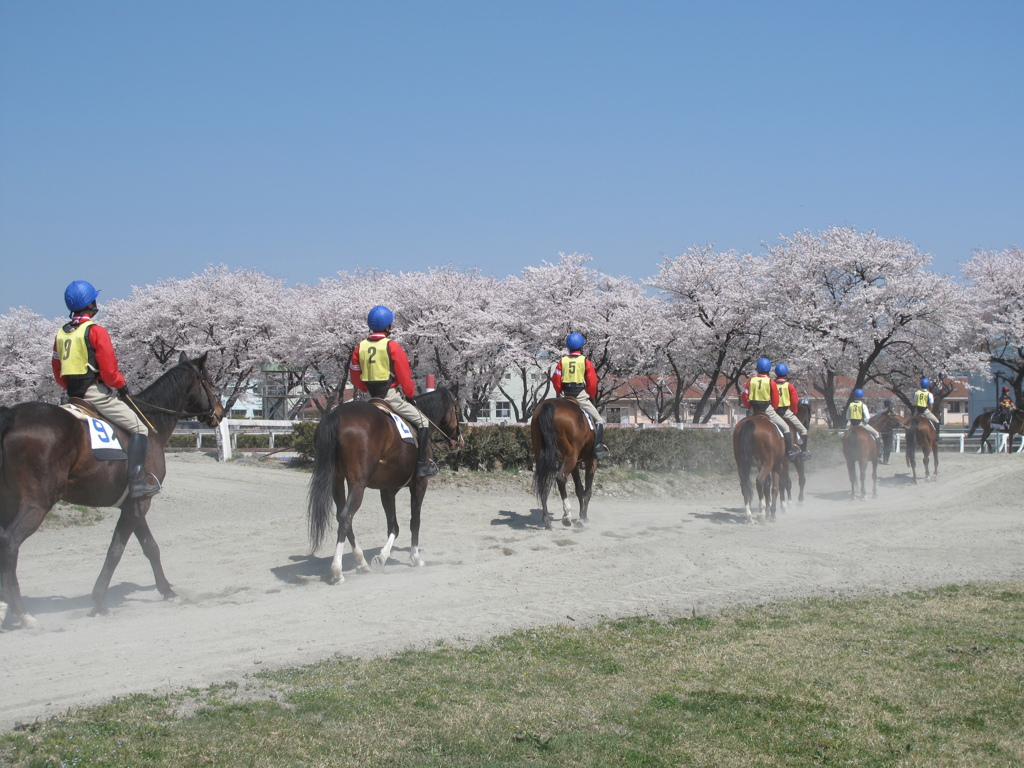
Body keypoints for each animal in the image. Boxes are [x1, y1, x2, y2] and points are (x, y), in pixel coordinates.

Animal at [0, 354, 223, 630]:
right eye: (209, 381)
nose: (219, 413)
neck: (151, 423)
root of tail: (12, 415)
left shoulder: (134, 503)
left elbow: (150, 547)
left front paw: (167, 591)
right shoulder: (139, 504)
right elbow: (116, 551)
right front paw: (99, 602)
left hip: (9, 502)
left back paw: (9, 610)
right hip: (38, 503)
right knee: (10, 543)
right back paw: (22, 614)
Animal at [305, 387, 462, 585]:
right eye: (457, 409)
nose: (459, 441)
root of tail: (336, 415)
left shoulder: (387, 490)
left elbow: (393, 526)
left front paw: (382, 557)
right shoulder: (419, 484)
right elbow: (414, 521)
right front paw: (415, 558)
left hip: (337, 481)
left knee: (343, 518)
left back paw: (361, 563)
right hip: (358, 484)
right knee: (346, 517)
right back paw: (337, 571)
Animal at [528, 397, 598, 528]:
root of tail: (549, 405)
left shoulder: (576, 464)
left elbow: (579, 488)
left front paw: (581, 515)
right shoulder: (591, 460)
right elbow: (587, 490)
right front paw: (583, 517)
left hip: (542, 456)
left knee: (543, 483)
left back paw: (547, 519)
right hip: (570, 457)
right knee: (560, 478)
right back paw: (566, 515)